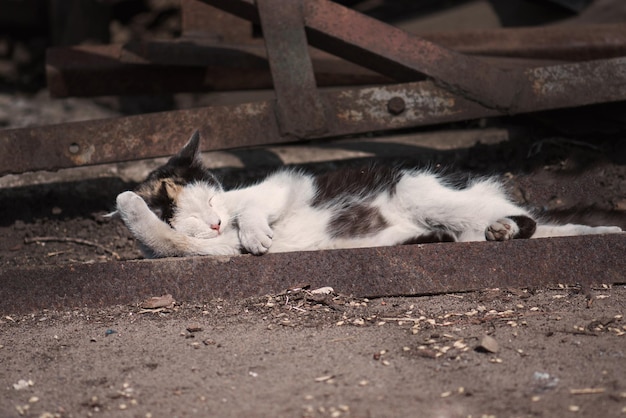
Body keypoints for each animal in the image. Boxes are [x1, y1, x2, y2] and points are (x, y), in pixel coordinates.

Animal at [116, 131, 620, 258]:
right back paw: (441, 238)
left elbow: (257, 204)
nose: (218, 221)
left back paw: (503, 228)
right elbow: (165, 238)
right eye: (196, 214)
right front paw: (129, 204)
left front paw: (255, 232)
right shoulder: (199, 250)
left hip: (421, 189)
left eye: (213, 201)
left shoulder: (286, 184)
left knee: (526, 220)